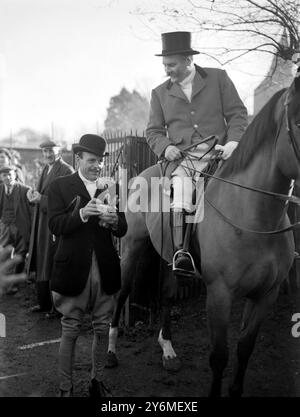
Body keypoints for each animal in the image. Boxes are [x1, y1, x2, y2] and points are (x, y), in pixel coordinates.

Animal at [109, 75, 300, 396]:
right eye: (298, 122)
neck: (254, 214)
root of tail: (144, 172)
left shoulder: (265, 296)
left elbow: (245, 348)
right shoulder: (219, 295)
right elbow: (219, 356)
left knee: (167, 295)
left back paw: (168, 350)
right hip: (133, 248)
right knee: (121, 293)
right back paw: (110, 352)